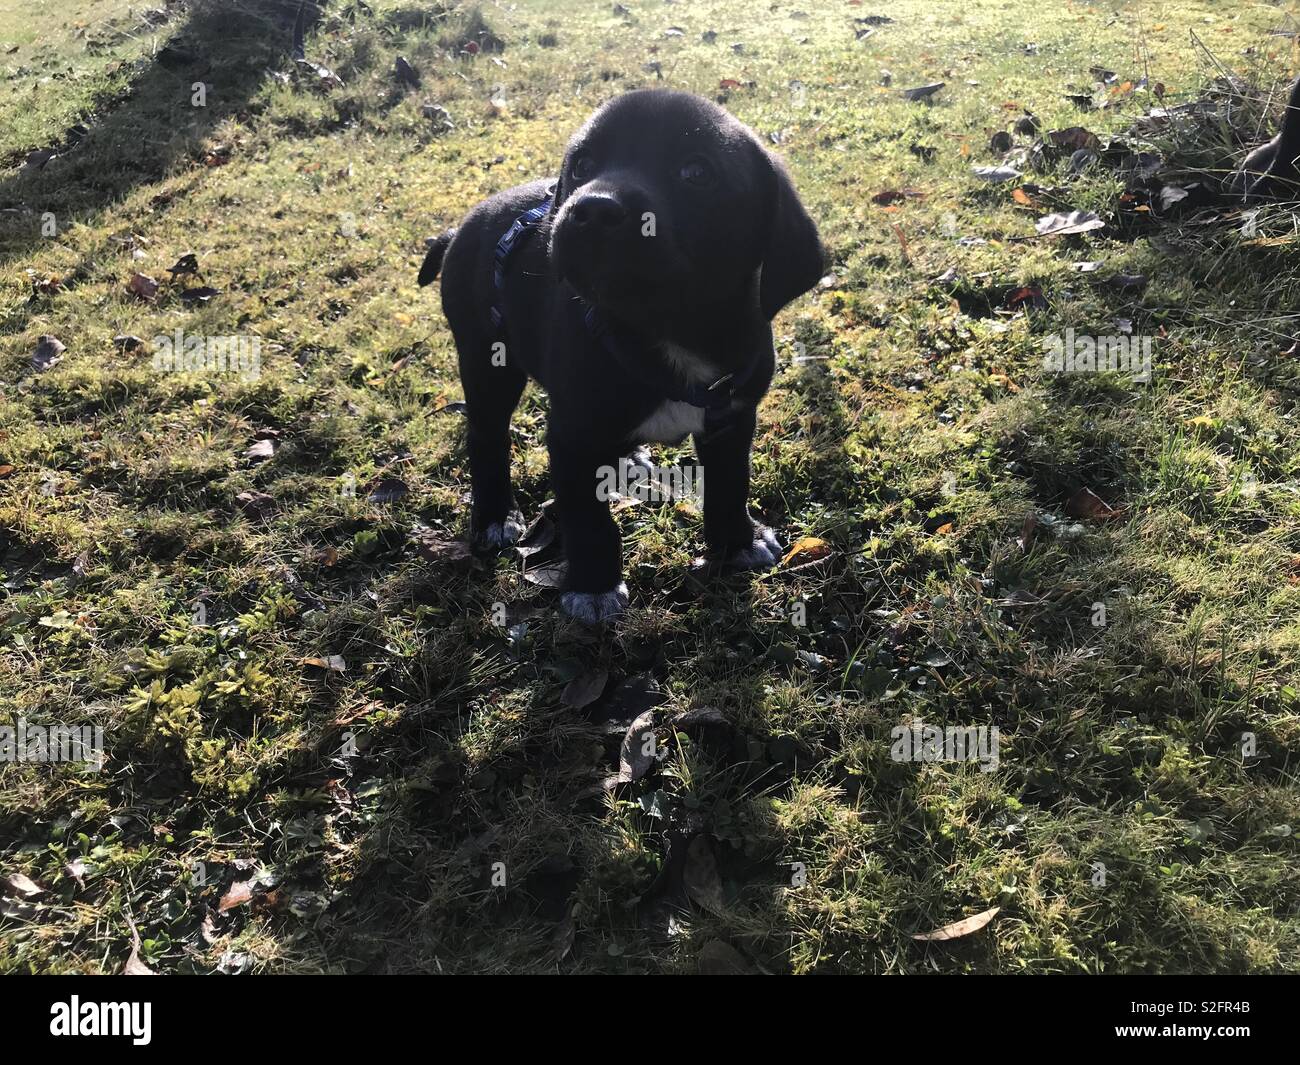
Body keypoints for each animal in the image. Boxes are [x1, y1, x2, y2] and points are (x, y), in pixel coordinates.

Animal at [418, 93, 821, 624]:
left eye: (696, 172)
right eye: (583, 166)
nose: (589, 209)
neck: (668, 330)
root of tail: (460, 227)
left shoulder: (732, 418)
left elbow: (730, 485)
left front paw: (737, 542)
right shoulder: (571, 436)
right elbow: (589, 520)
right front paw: (593, 587)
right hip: (487, 360)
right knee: (487, 435)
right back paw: (495, 515)